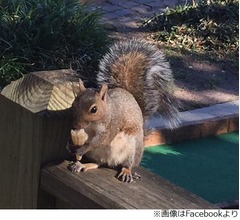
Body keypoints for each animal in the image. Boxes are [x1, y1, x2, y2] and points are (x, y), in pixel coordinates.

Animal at [68, 38, 180, 182]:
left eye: (94, 109)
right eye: (74, 103)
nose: (75, 125)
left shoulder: (112, 125)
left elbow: (99, 141)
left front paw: (82, 149)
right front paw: (70, 144)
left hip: (131, 148)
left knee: (127, 163)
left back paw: (126, 171)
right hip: (97, 155)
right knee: (98, 163)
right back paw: (83, 165)